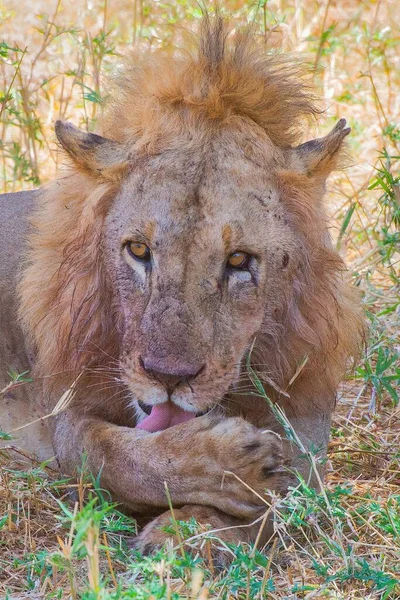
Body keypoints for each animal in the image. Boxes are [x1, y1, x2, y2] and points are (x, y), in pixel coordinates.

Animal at [0, 15, 362, 556]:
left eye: (239, 260)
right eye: (139, 250)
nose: (169, 378)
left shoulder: (307, 441)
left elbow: (274, 506)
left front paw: (187, 534)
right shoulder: (68, 411)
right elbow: (116, 455)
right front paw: (239, 468)